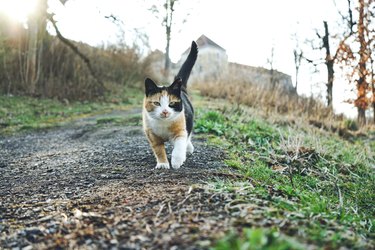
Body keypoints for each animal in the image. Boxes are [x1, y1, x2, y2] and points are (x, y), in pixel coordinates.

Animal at [142, 41, 198, 170]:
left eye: (171, 103)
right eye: (157, 103)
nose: (165, 111)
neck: (163, 124)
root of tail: (181, 88)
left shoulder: (180, 131)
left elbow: (179, 145)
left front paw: (177, 161)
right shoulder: (152, 135)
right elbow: (159, 150)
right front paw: (163, 163)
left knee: (187, 137)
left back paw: (188, 149)